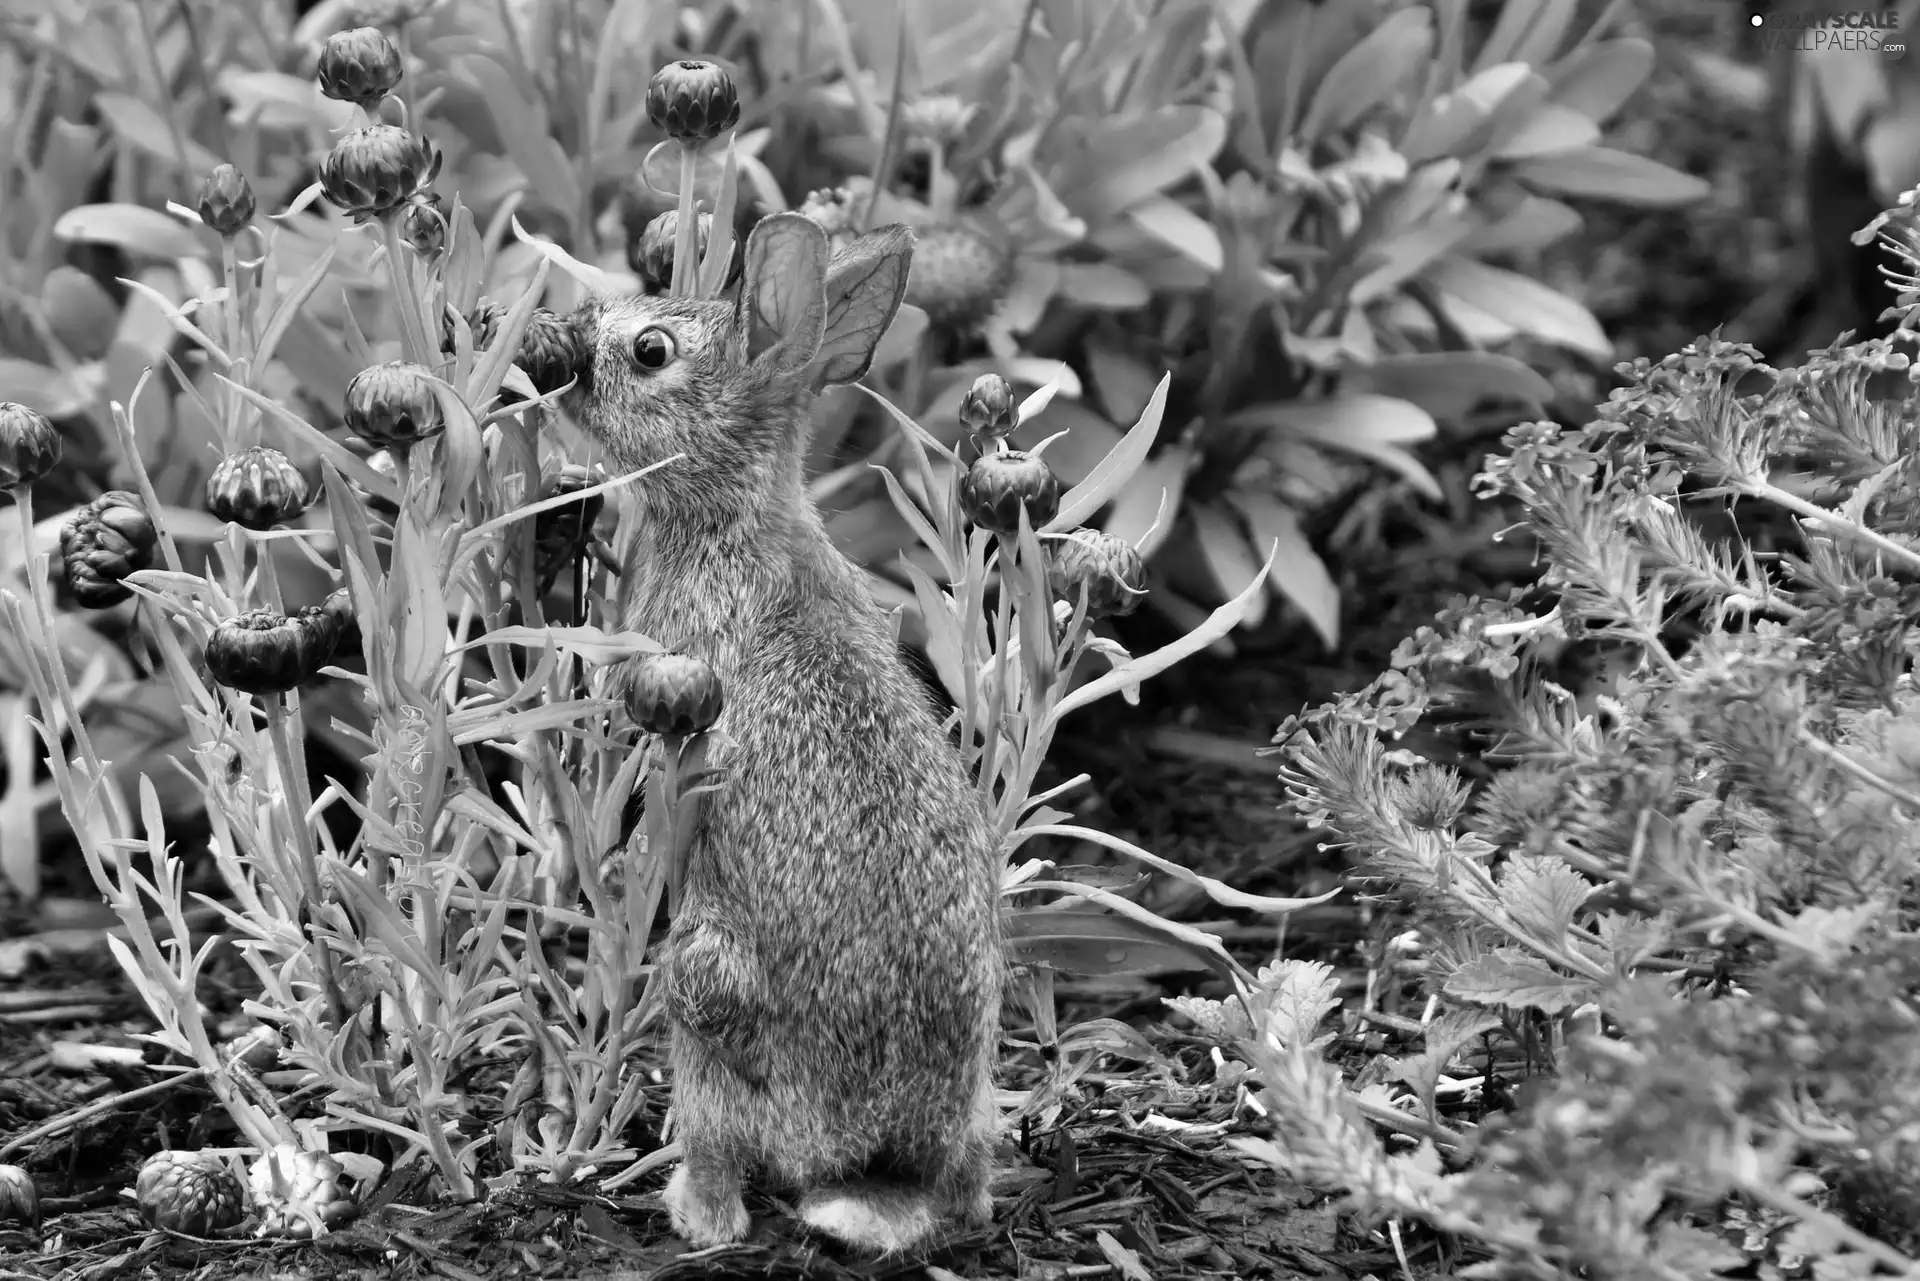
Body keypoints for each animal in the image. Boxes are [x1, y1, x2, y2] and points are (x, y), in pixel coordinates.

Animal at [564, 217, 1006, 1252]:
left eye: (651, 351)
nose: (569, 345)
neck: (734, 515)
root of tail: (878, 1151)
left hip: (703, 996)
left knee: (722, 1159)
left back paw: (685, 1204)